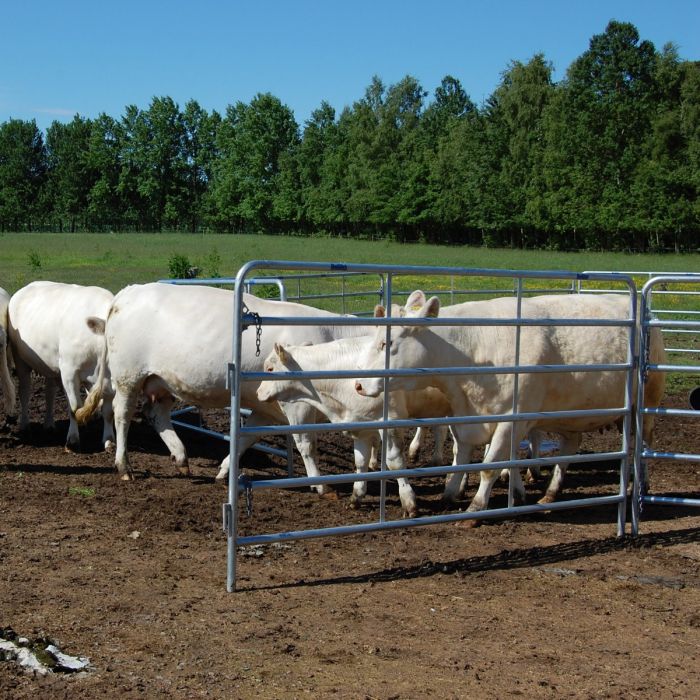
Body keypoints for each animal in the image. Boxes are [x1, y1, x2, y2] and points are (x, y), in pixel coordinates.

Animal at [7, 282, 115, 452]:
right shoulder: (69, 372)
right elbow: (74, 407)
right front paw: (72, 441)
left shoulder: (110, 380)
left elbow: (108, 412)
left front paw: (109, 441)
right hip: (20, 359)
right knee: (24, 391)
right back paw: (24, 424)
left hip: (50, 366)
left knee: (49, 392)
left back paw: (49, 424)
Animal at [77, 284, 370, 482]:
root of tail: (127, 293)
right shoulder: (298, 406)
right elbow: (307, 442)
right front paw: (320, 484)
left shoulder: (267, 409)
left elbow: (246, 438)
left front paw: (224, 470)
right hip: (129, 375)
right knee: (123, 414)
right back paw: (124, 466)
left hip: (161, 381)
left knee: (155, 413)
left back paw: (181, 458)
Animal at [258, 336, 454, 516]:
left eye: (270, 369)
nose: (258, 393)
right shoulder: (361, 426)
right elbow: (360, 463)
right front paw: (356, 497)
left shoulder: (390, 422)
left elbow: (395, 463)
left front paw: (409, 502)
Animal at [358, 292, 664, 516]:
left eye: (386, 344)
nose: (359, 383)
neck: (474, 349)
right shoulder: (465, 416)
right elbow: (461, 459)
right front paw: (450, 494)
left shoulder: (510, 420)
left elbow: (490, 466)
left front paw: (475, 508)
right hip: (573, 416)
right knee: (569, 449)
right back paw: (550, 494)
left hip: (646, 404)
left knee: (643, 447)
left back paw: (640, 487)